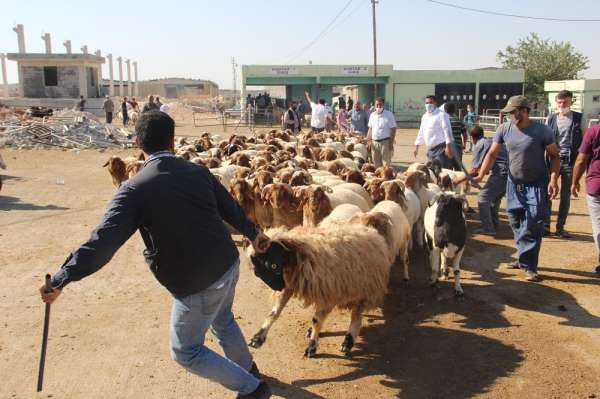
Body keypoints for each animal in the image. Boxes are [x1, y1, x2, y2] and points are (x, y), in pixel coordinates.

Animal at [247, 223, 394, 358]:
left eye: (273, 265)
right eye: (257, 272)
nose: (278, 287)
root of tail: (371, 232)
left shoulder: (327, 293)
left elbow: (316, 320)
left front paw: (312, 346)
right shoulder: (290, 286)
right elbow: (274, 313)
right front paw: (258, 338)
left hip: (365, 289)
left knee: (356, 316)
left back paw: (348, 341)